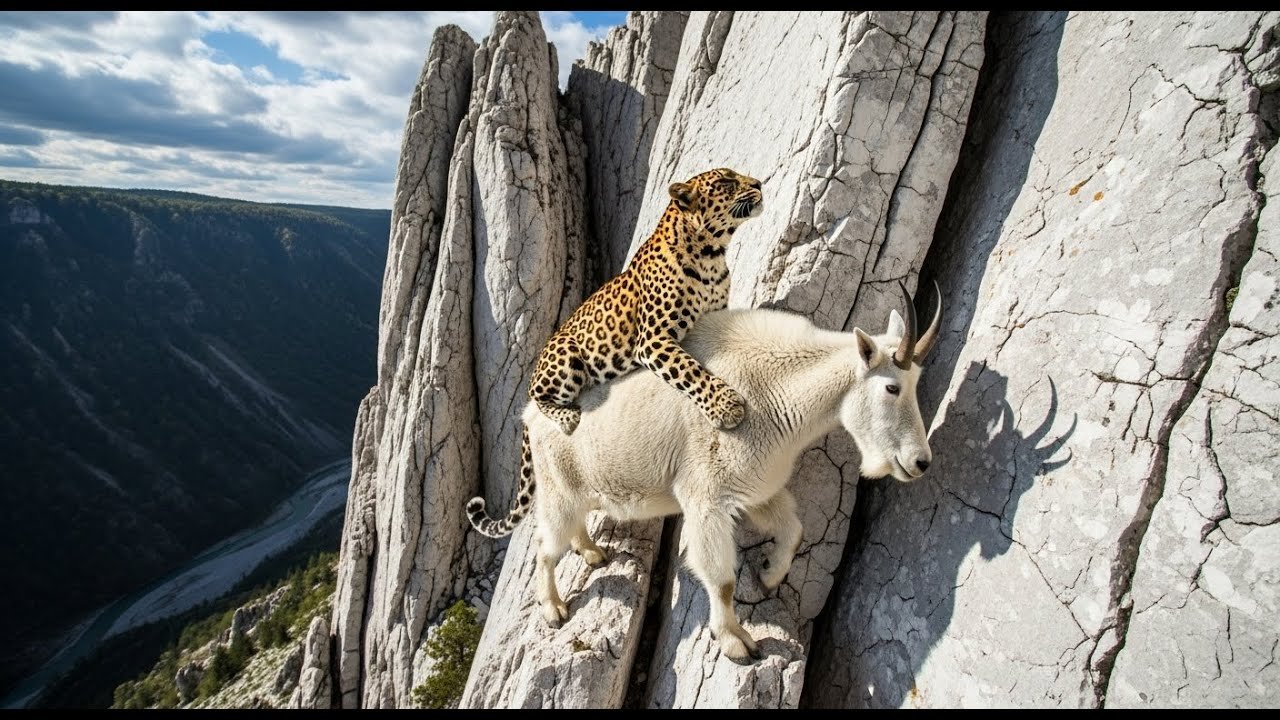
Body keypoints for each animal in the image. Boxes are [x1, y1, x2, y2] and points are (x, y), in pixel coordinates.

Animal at [467, 281, 942, 661]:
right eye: (891, 387)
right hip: (558, 490)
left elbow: (793, 532)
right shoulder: (707, 498)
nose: (921, 461)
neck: (780, 393)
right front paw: (737, 643)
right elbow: (722, 578)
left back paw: (593, 552)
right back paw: (553, 607)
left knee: (574, 528)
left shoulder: (755, 490)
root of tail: (529, 415)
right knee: (545, 547)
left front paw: (768, 575)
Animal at [528, 166, 764, 437]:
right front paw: (725, 406)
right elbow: (689, 369)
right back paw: (567, 417)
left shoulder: (713, 315)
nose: (759, 184)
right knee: (536, 397)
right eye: (725, 181)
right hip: (566, 355)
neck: (711, 256)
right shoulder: (651, 338)